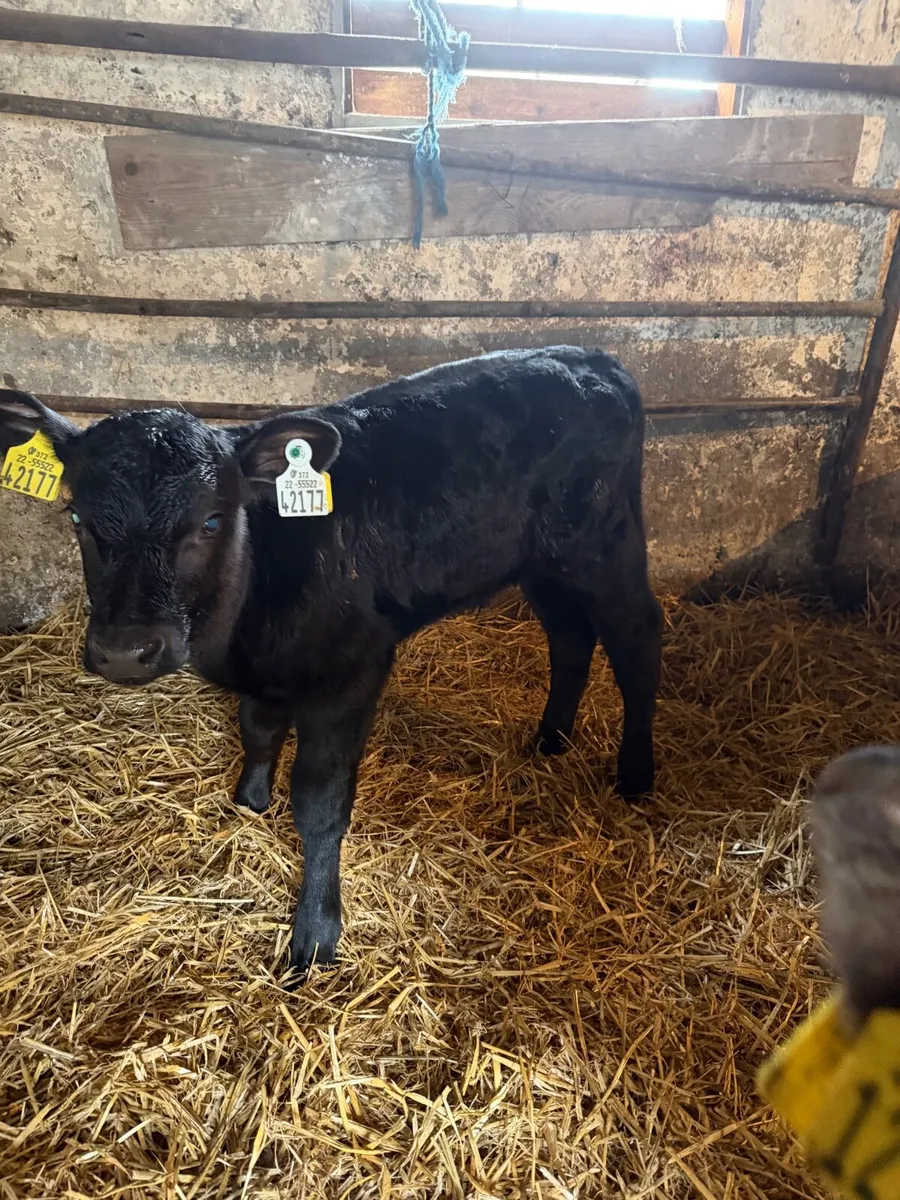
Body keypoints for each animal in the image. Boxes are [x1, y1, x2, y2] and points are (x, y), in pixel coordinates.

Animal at [0, 347, 663, 974]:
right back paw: (551, 739)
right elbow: (258, 730)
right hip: (543, 563)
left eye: (211, 521)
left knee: (638, 641)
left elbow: (319, 804)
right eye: (78, 518)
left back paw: (635, 774)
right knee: (570, 639)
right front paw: (249, 802)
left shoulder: (351, 673)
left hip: (606, 546)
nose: (125, 651)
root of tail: (590, 357)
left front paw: (316, 931)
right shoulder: (266, 670)